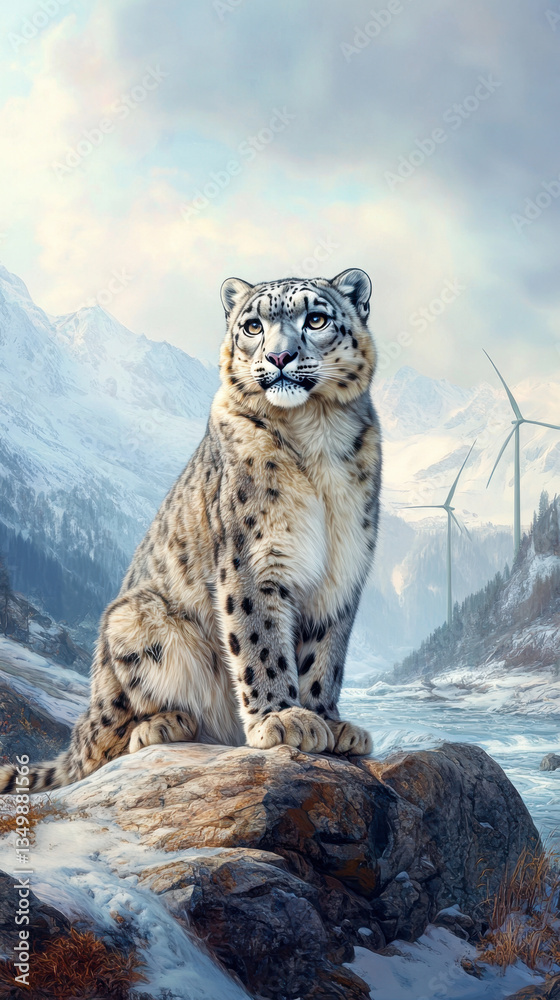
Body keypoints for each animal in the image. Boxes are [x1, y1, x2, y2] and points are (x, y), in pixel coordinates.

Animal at [0, 267, 381, 793]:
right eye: (253, 326)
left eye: (317, 319)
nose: (279, 357)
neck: (316, 433)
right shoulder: (253, 559)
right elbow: (261, 640)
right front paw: (283, 719)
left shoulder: (342, 571)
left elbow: (325, 655)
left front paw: (329, 721)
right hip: (134, 620)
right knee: (102, 746)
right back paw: (163, 726)